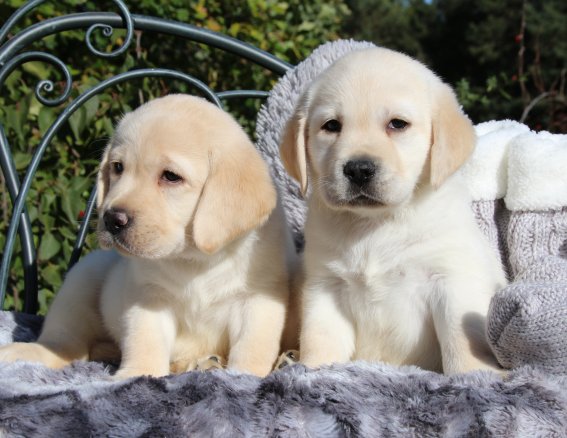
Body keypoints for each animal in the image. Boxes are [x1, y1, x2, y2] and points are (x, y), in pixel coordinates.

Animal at [0, 94, 294, 378]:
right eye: (118, 167)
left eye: (171, 176)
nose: (111, 219)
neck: (195, 259)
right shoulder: (148, 296)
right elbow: (145, 340)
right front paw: (137, 375)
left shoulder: (257, 300)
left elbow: (253, 346)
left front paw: (246, 376)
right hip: (82, 278)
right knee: (63, 344)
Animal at [280, 47, 506, 374]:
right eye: (331, 126)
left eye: (397, 124)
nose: (359, 169)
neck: (376, 225)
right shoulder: (325, 286)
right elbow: (320, 338)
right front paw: (310, 371)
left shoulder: (452, 279)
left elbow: (462, 340)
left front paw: (474, 376)